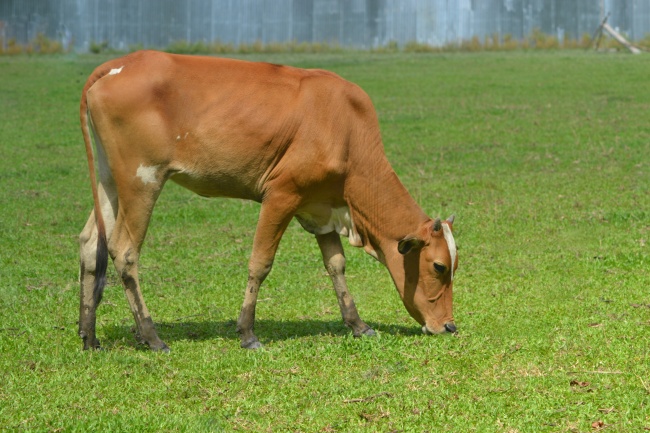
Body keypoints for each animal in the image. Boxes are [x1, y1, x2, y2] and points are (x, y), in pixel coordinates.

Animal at [77, 49, 456, 352]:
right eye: (438, 266)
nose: (450, 326)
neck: (347, 130)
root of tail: (119, 64)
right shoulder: (281, 194)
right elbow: (260, 263)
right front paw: (247, 332)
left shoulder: (321, 208)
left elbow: (336, 265)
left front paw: (357, 324)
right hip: (143, 180)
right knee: (124, 250)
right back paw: (151, 336)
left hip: (110, 181)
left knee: (91, 244)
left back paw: (89, 335)